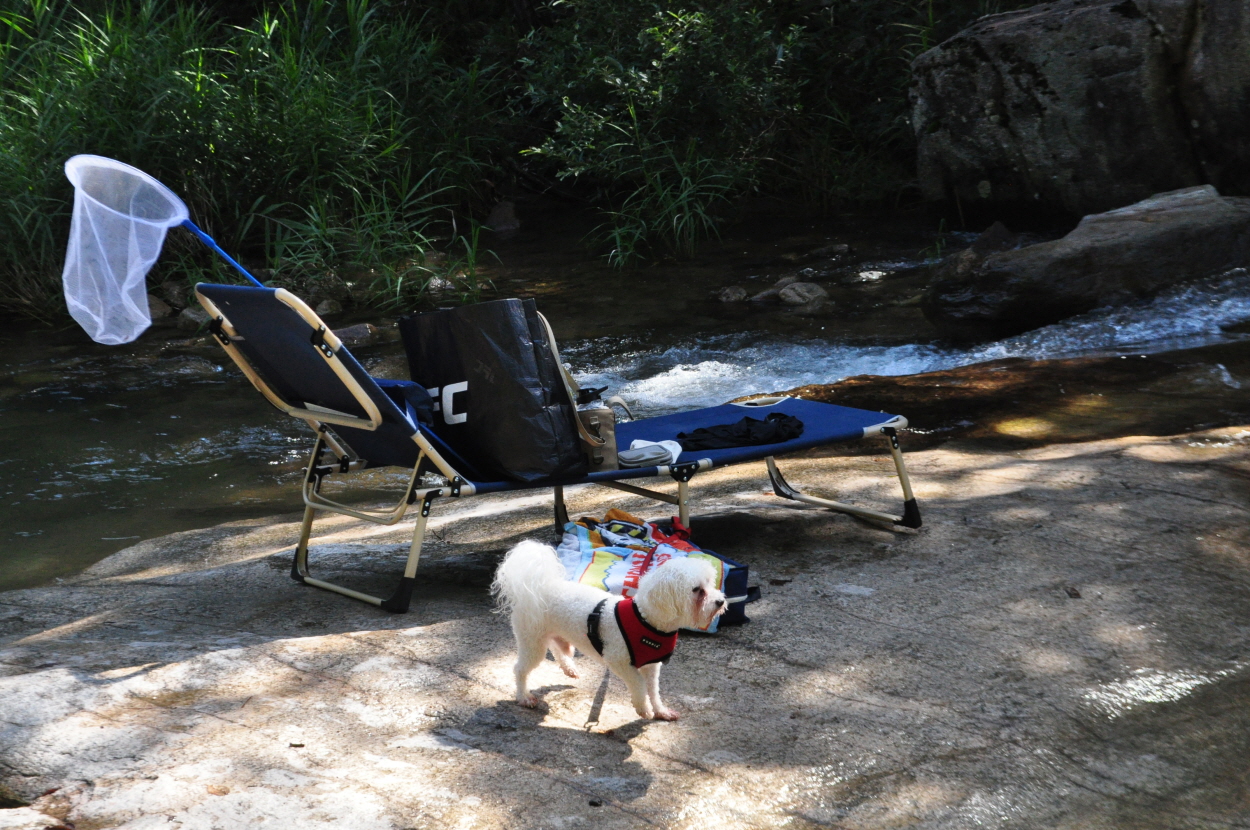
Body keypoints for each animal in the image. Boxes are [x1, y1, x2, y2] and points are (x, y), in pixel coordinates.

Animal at [491, 539, 726, 720]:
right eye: (697, 590)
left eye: (709, 583)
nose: (721, 601)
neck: (646, 619)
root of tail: (539, 586)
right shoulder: (618, 660)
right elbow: (639, 684)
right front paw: (643, 708)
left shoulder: (652, 666)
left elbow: (654, 690)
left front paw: (660, 711)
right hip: (532, 642)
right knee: (520, 669)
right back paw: (523, 696)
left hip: (554, 635)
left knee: (559, 650)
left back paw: (569, 669)